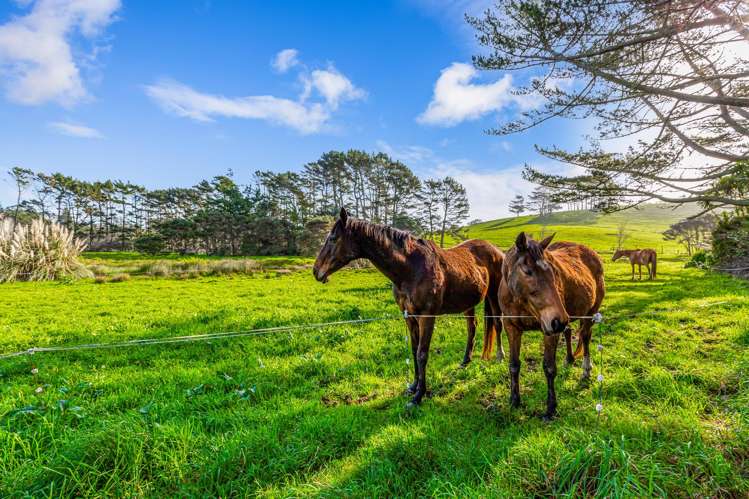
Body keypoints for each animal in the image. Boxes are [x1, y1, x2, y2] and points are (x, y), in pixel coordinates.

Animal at [312, 207, 506, 406]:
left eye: (333, 238)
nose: (316, 271)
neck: (411, 269)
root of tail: (496, 251)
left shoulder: (427, 317)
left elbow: (422, 353)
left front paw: (419, 395)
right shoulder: (409, 316)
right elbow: (414, 350)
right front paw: (413, 386)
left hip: (493, 296)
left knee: (498, 324)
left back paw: (500, 357)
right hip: (468, 303)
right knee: (472, 328)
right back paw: (465, 361)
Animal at [490, 232, 608, 420]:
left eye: (553, 272)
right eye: (528, 271)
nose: (558, 320)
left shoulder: (550, 331)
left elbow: (549, 368)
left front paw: (551, 408)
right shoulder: (512, 327)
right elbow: (514, 365)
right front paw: (514, 401)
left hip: (588, 313)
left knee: (585, 337)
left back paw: (586, 370)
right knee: (569, 332)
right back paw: (569, 359)